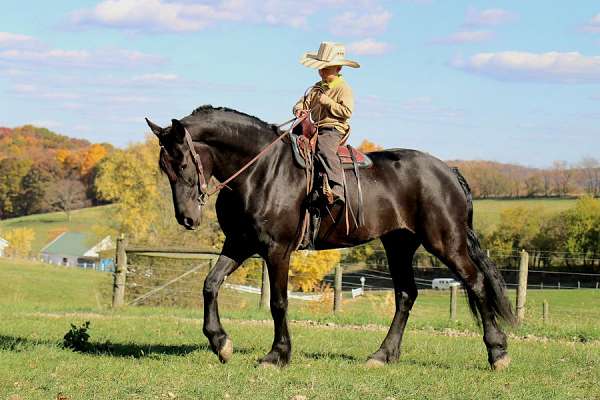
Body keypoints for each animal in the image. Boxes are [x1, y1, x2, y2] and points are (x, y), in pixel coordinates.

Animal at [146, 105, 516, 368]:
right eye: (165, 168)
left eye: (181, 163)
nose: (187, 218)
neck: (260, 172)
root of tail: (448, 171)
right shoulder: (240, 243)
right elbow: (210, 284)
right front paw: (221, 343)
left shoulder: (276, 250)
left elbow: (278, 302)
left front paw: (277, 355)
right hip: (399, 244)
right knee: (406, 295)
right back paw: (382, 355)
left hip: (445, 242)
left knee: (476, 283)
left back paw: (497, 353)